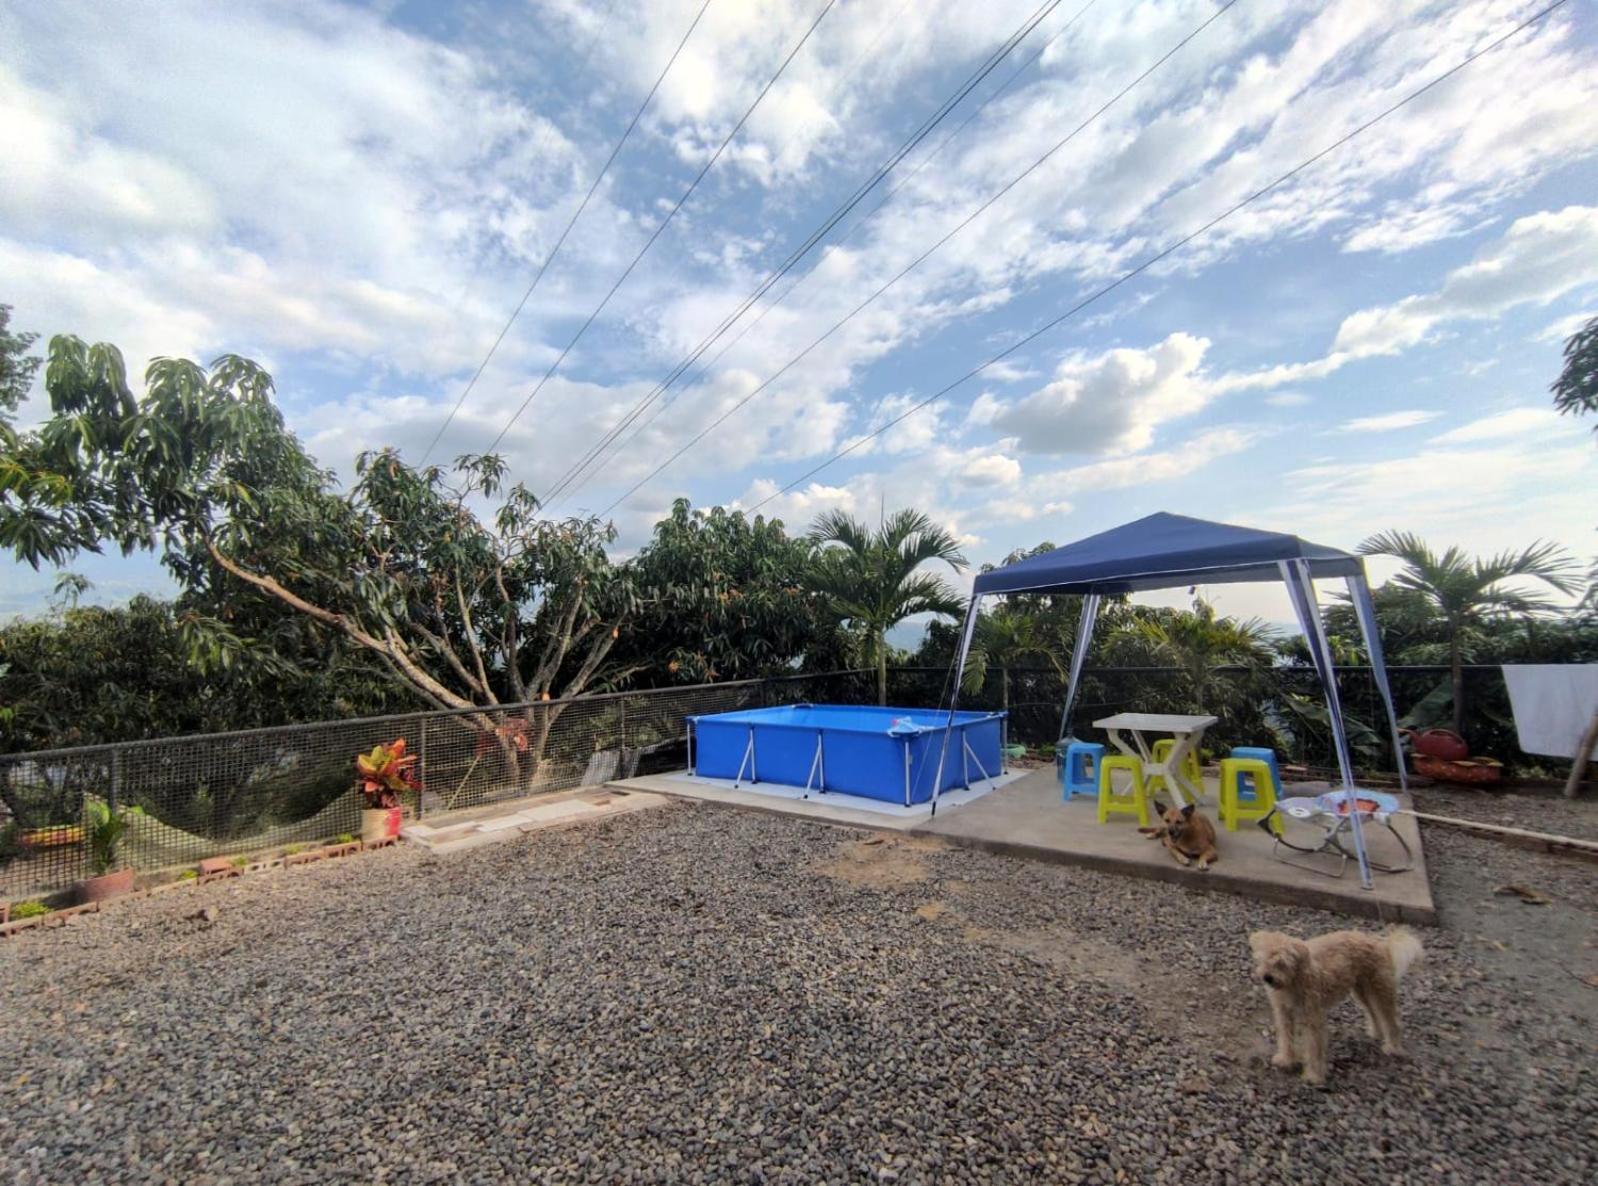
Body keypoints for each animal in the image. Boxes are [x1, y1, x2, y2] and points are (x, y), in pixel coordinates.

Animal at [1246, 933, 1425, 1093]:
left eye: (1281, 963)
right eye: (1263, 959)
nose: (1267, 977)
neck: (1294, 980)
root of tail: (1381, 943)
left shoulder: (1313, 1020)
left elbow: (1314, 1048)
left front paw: (1314, 1076)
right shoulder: (1284, 1014)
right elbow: (1286, 1038)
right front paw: (1286, 1059)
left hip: (1381, 990)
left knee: (1392, 1020)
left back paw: (1393, 1047)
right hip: (1361, 990)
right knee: (1373, 1012)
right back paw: (1376, 1033)